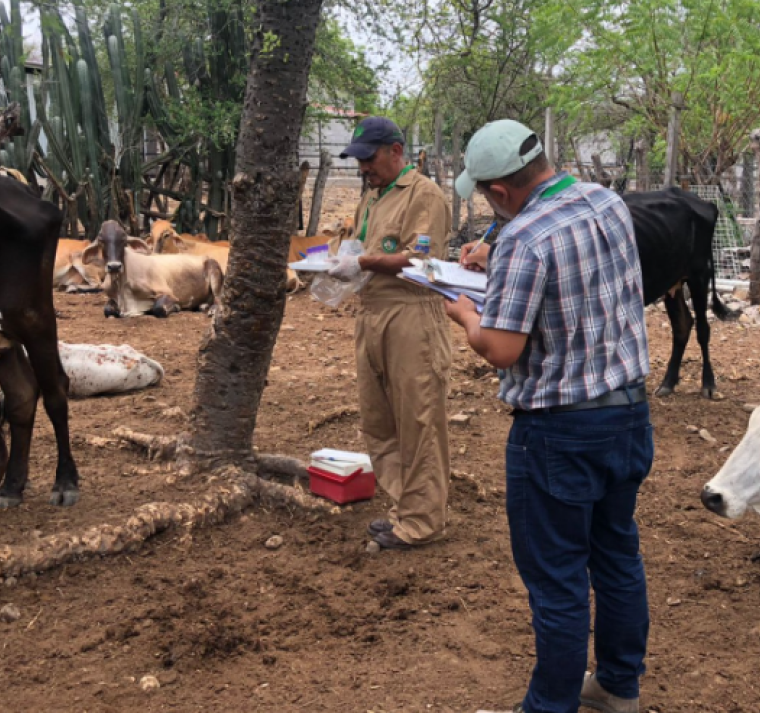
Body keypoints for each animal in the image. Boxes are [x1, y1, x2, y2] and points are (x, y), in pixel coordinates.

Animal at [624, 189, 736, 398]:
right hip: (672, 282)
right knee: (682, 325)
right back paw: (668, 383)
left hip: (699, 275)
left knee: (703, 329)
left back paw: (708, 384)